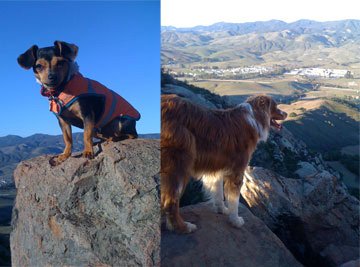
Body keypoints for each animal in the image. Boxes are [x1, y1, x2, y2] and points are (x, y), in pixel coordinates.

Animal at [160, 95, 286, 233]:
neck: (254, 117)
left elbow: (218, 191)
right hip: (179, 163)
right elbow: (234, 199)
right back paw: (183, 227)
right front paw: (235, 220)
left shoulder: (216, 168)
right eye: (275, 106)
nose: (286, 113)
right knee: (170, 201)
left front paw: (221, 210)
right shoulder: (237, 171)